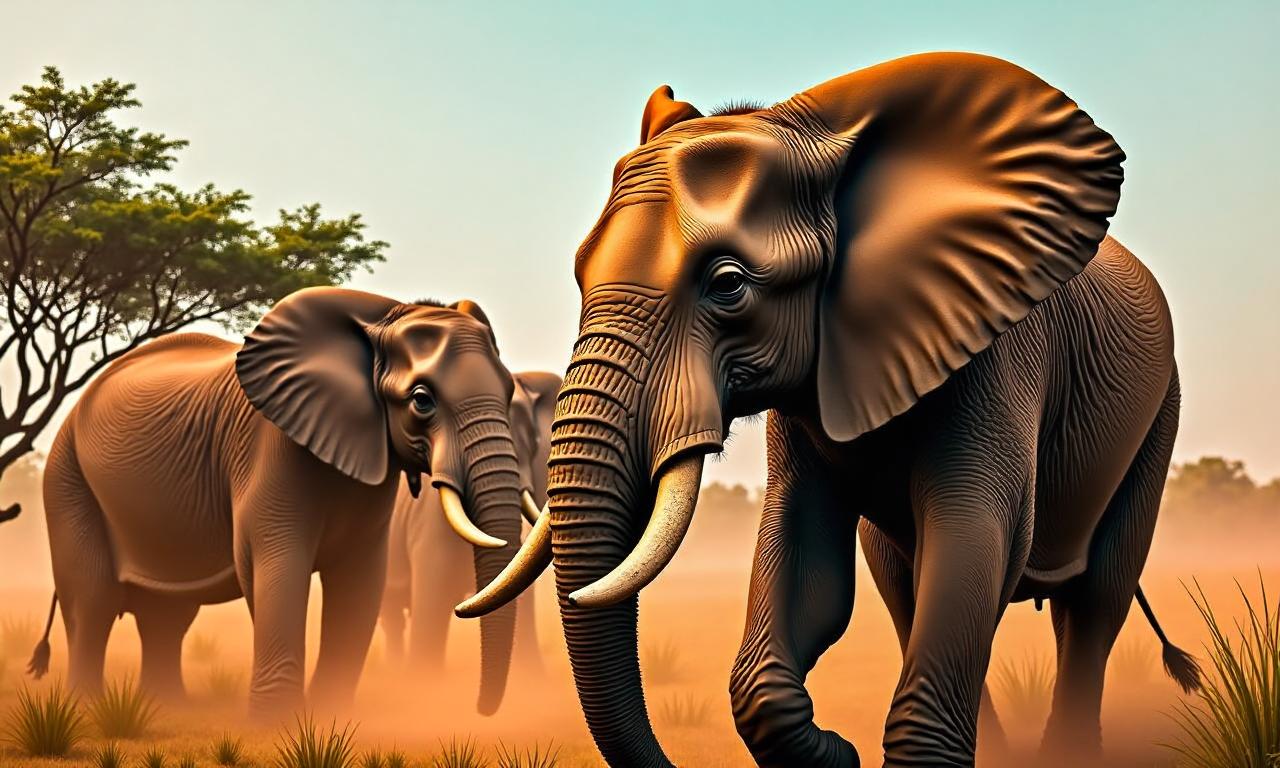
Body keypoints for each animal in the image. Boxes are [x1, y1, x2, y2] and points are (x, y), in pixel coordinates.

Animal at [29, 288, 527, 717]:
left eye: (508, 392)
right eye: (422, 401)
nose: (481, 709)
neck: (382, 316)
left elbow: (360, 577)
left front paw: (328, 718)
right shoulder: (271, 447)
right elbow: (277, 561)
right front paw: (276, 724)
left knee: (167, 613)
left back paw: (166, 709)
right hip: (67, 478)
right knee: (91, 602)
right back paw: (87, 711)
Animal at [460, 52, 1200, 767]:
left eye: (727, 285)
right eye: (580, 273)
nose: (668, 760)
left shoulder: (997, 356)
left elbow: (974, 535)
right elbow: (806, 562)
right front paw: (837, 754)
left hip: (1159, 410)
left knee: (1096, 599)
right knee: (909, 587)